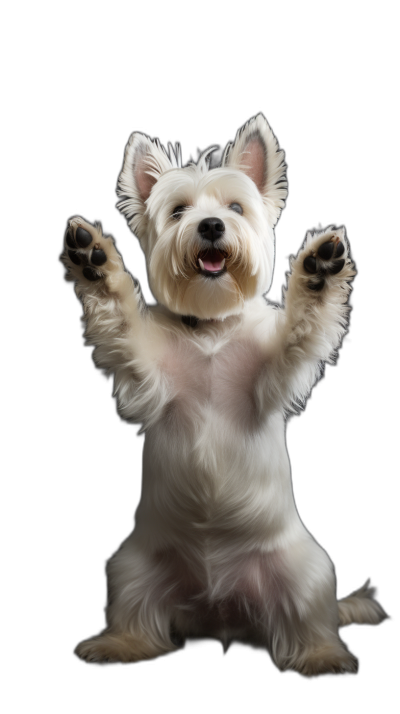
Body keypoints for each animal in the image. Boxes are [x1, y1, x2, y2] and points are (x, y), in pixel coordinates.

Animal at [64, 115, 386, 672]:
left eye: (235, 208)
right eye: (178, 211)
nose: (211, 226)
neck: (211, 324)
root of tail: (222, 611)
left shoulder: (273, 375)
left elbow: (303, 325)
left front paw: (319, 272)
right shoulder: (148, 374)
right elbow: (119, 318)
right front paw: (94, 262)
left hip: (308, 572)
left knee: (310, 622)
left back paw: (322, 655)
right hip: (131, 569)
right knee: (140, 618)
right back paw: (119, 645)